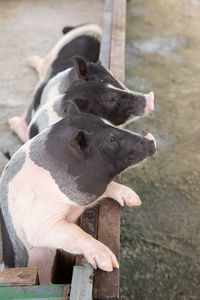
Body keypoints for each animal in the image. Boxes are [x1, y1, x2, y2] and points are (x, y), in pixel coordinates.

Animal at [0, 102, 156, 284]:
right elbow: (75, 232)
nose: (151, 141)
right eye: (111, 140)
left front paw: (135, 200)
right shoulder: (37, 224)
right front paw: (110, 264)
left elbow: (109, 187)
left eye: (108, 123)